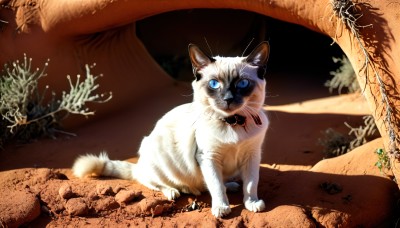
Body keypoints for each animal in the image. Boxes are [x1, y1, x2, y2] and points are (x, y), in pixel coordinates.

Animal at [73, 41, 270, 217]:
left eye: (242, 84)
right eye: (214, 84)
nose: (228, 99)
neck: (232, 123)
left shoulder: (252, 155)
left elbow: (250, 184)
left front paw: (252, 203)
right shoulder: (208, 157)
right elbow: (216, 186)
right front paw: (221, 209)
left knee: (214, 183)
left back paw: (229, 185)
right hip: (158, 155)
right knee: (151, 180)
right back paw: (176, 191)